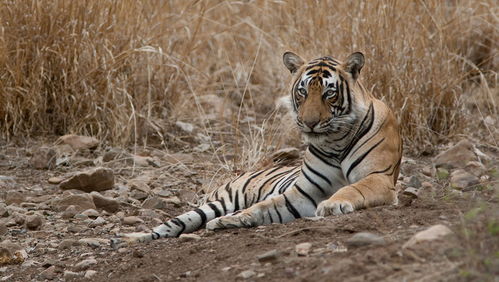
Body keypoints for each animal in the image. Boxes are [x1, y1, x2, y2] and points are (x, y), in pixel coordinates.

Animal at [111, 51, 404, 248]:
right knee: (173, 224)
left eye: (328, 93)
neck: (335, 140)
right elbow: (264, 206)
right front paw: (234, 219)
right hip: (215, 203)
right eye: (302, 92)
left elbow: (352, 188)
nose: (309, 122)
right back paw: (126, 239)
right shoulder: (305, 193)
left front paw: (333, 204)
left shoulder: (379, 177)